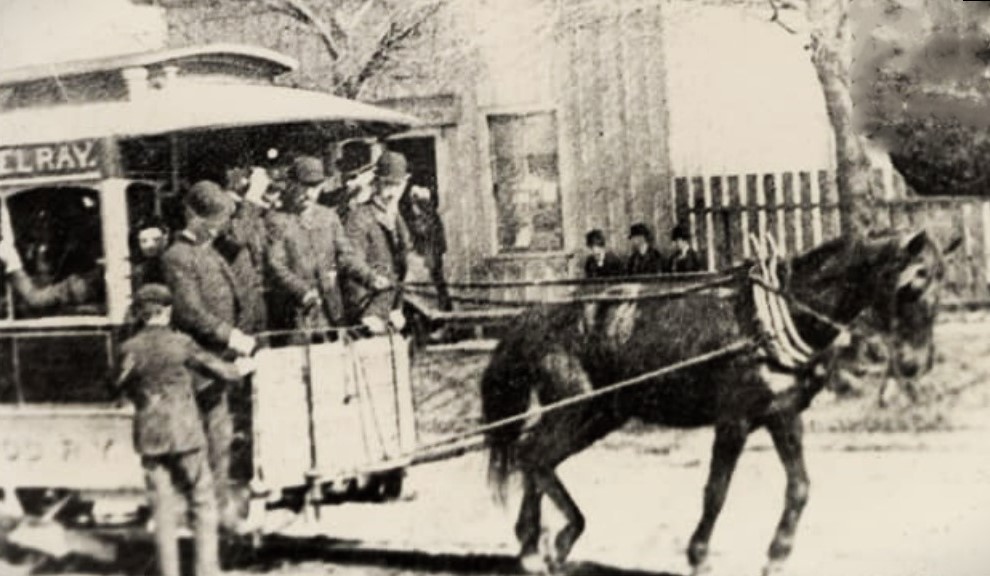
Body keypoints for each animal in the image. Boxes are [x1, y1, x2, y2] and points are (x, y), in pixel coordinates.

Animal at [480, 231, 960, 576]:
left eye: (941, 288)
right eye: (910, 285)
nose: (915, 363)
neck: (772, 321)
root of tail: (535, 316)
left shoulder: (783, 416)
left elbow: (800, 487)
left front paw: (777, 554)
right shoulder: (734, 421)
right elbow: (716, 491)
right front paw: (699, 555)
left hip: (599, 414)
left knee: (536, 457)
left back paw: (533, 542)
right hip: (576, 407)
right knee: (534, 454)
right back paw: (550, 541)